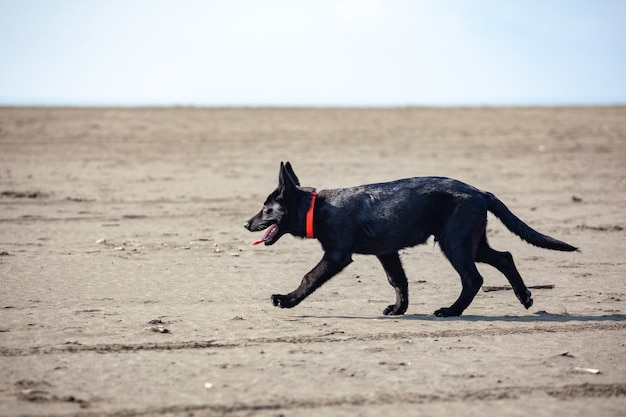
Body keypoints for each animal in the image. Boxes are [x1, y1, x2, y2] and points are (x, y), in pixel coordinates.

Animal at [244, 162, 576, 316]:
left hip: (454, 243)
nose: (246, 223)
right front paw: (398, 309)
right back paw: (525, 296)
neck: (317, 207)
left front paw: (287, 300)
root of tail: (479, 192)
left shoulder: (337, 254)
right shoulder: (387, 252)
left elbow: (309, 276)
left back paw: (451, 311)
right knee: (505, 257)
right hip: (472, 242)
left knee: (474, 278)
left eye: (266, 209)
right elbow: (398, 280)